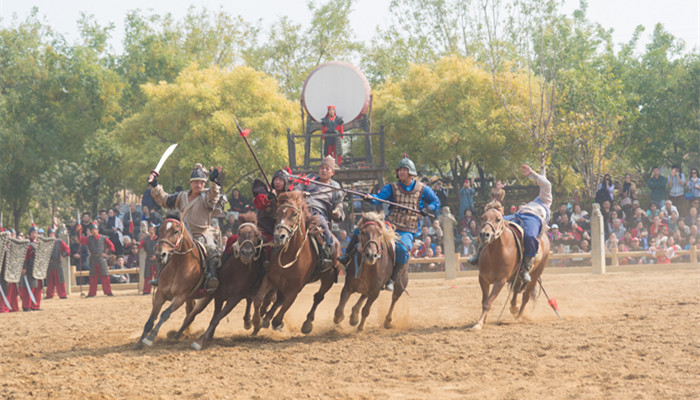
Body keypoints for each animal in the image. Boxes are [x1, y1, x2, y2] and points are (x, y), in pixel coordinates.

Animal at [136, 214, 206, 348]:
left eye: (176, 231)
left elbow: (165, 314)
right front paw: (140, 342)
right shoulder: (160, 294)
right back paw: (180, 334)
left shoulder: (180, 297)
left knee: (191, 315)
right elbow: (151, 318)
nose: (160, 254)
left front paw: (150, 337)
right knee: (189, 313)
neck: (178, 266)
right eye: (160, 230)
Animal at [190, 212, 270, 350]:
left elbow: (218, 317)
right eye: (240, 232)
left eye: (256, 234)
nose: (246, 252)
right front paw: (209, 336)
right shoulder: (219, 295)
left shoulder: (235, 298)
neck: (236, 272)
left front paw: (200, 340)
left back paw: (251, 322)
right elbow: (215, 316)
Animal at [252, 192, 340, 336]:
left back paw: (307, 323)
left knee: (318, 297)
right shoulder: (270, 279)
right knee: (279, 300)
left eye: (294, 214)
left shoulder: (295, 289)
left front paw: (274, 322)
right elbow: (258, 300)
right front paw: (256, 321)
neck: (290, 257)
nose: (279, 236)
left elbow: (279, 315)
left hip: (329, 278)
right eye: (277, 213)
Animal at [474, 202, 548, 330]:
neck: (494, 255)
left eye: (498, 219)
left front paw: (479, 323)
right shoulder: (482, 279)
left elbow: (488, 302)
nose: (484, 235)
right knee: (516, 290)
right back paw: (514, 307)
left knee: (526, 297)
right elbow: (484, 301)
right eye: (482, 217)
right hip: (517, 276)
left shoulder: (500, 281)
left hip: (535, 274)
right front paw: (483, 320)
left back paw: (518, 317)